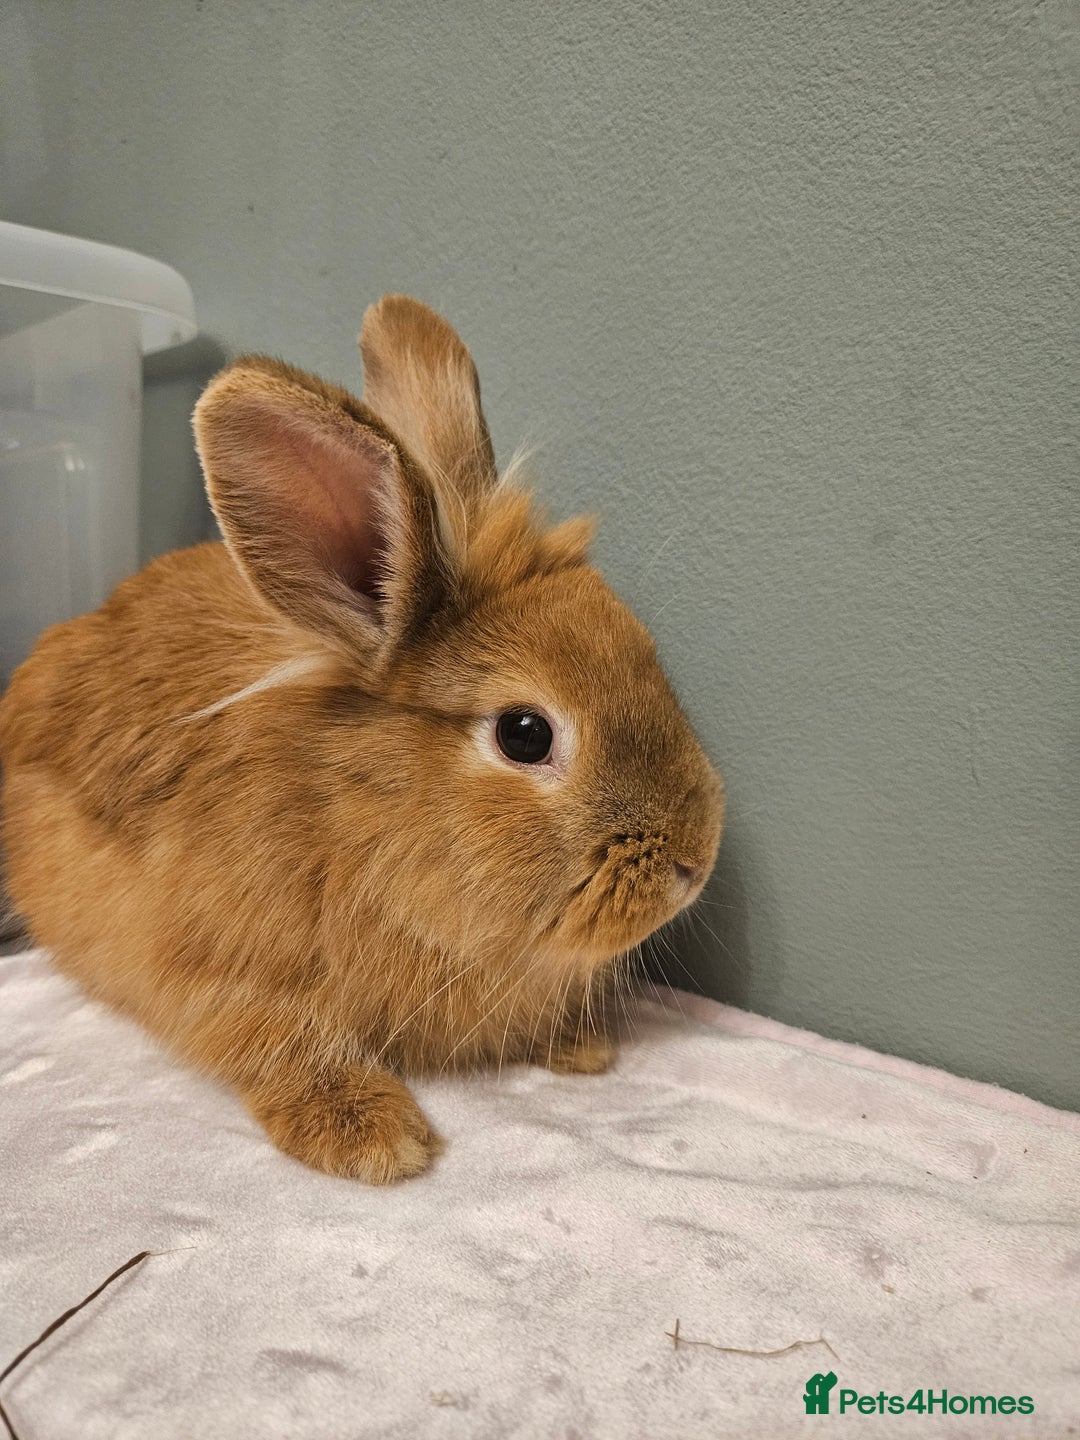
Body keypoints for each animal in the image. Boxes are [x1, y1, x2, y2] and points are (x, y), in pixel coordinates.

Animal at [0, 296, 724, 1183]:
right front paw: (375, 1138)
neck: (360, 813)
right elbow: (280, 1039)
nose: (696, 861)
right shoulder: (219, 972)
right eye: (524, 734)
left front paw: (582, 1051)